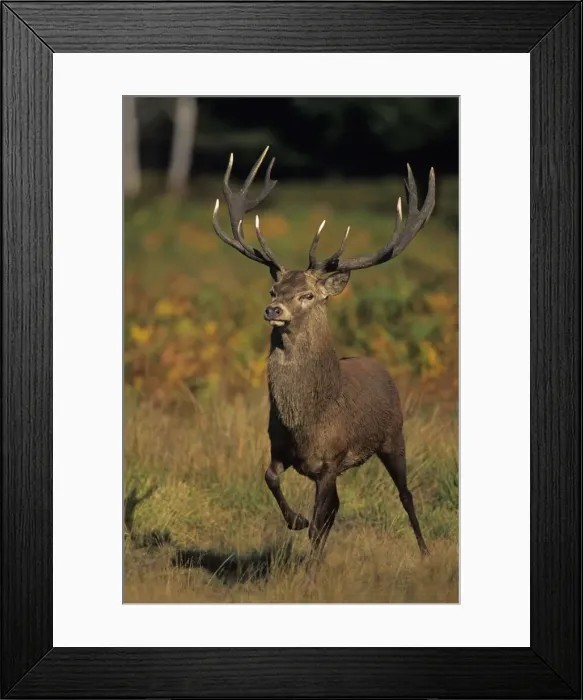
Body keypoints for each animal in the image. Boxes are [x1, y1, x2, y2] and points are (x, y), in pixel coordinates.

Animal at [212, 147, 435, 558]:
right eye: (274, 290)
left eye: (308, 295)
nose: (273, 310)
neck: (306, 424)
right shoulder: (280, 449)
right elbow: (271, 479)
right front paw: (295, 521)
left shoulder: (332, 460)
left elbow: (319, 524)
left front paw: (309, 562)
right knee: (339, 506)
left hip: (394, 435)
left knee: (406, 494)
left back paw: (425, 551)